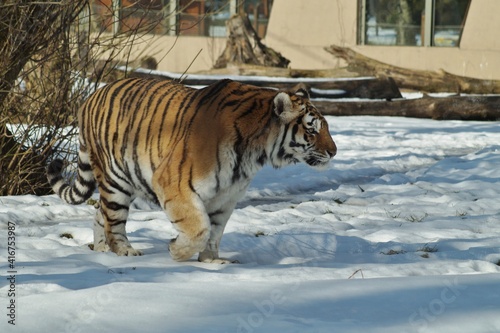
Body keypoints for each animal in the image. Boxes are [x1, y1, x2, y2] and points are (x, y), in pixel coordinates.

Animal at [47, 78, 336, 262]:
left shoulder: (226, 196)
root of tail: (90, 97)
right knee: (114, 219)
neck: (255, 151)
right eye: (312, 130)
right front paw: (176, 250)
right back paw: (124, 251)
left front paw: (211, 261)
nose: (334, 152)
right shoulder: (173, 184)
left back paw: (101, 249)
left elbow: (215, 231)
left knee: (101, 212)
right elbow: (199, 228)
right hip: (115, 179)